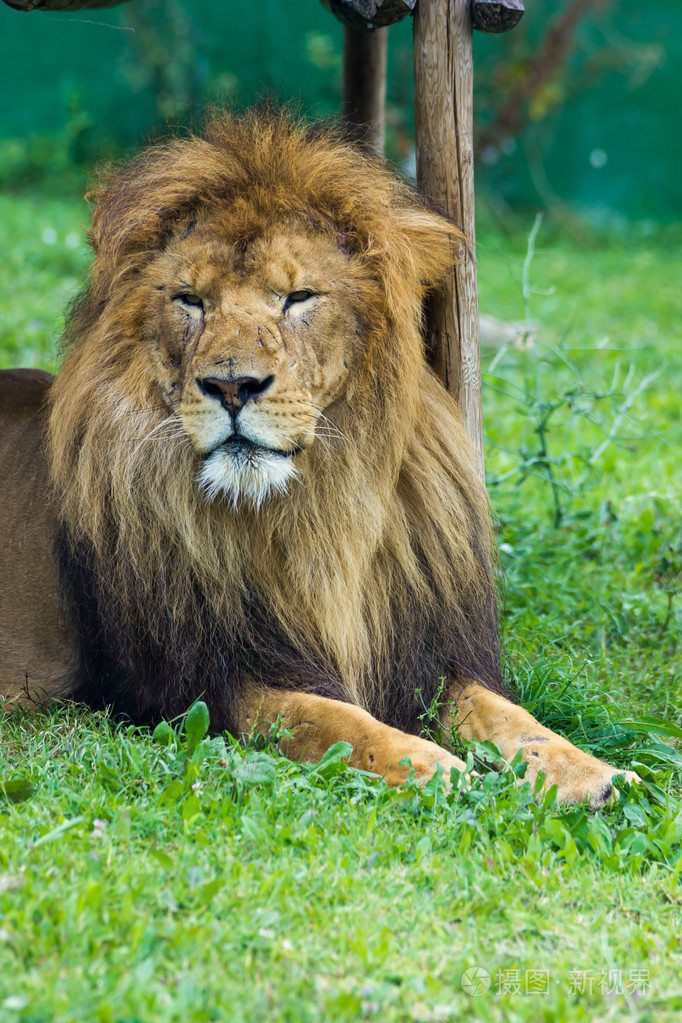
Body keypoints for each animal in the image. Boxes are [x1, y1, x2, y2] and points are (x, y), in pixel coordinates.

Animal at [1, 109, 642, 806]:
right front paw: (435, 768)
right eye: (191, 300)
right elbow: (330, 718)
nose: (232, 386)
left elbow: (510, 716)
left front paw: (597, 773)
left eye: (298, 297)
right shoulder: (193, 683)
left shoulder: (421, 652)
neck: (316, 510)